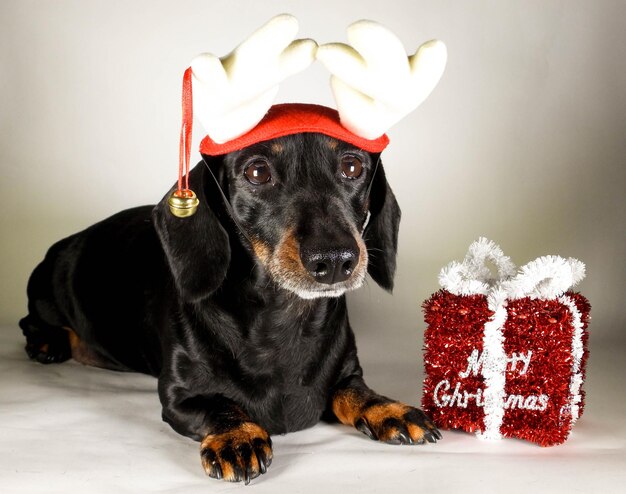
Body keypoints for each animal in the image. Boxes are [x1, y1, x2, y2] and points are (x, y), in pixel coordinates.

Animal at [19, 131, 438, 482]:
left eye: (352, 167)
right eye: (257, 171)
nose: (335, 260)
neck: (281, 317)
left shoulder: (347, 373)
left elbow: (356, 392)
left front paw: (387, 408)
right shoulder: (179, 395)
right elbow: (219, 404)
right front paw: (237, 436)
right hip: (44, 291)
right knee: (30, 321)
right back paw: (49, 342)